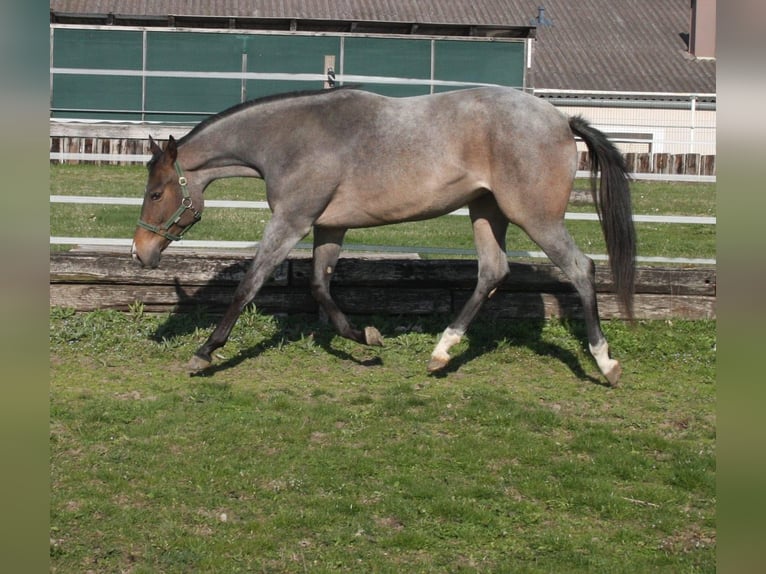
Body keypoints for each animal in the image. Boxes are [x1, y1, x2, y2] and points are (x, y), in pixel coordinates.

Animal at [132, 85, 636, 388]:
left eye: (156, 192)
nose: (140, 252)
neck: (292, 140)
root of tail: (562, 119)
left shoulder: (292, 221)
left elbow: (249, 285)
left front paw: (204, 353)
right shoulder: (328, 225)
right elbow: (320, 286)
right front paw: (367, 338)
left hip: (534, 216)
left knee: (581, 269)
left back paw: (606, 363)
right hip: (486, 211)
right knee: (493, 272)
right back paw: (441, 353)